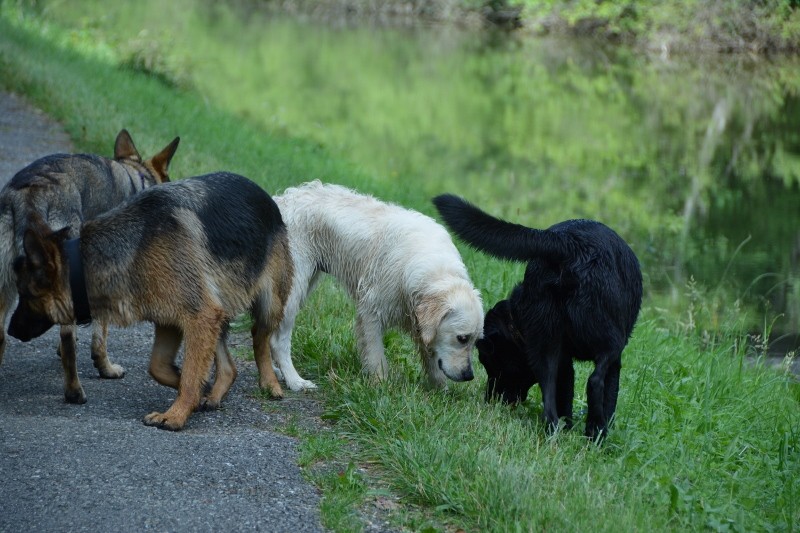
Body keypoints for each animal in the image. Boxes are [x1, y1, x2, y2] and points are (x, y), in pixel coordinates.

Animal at [0, 130, 178, 404]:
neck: (135, 176)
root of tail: (31, 193)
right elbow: (99, 335)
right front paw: (106, 368)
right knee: (68, 339)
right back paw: (74, 392)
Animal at [6, 172, 294, 430]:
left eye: (25, 294)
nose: (9, 330)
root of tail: (266, 195)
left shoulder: (198, 316)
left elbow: (190, 374)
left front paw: (176, 415)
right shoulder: (170, 321)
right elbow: (159, 367)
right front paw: (193, 389)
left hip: (267, 304)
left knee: (259, 337)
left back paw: (270, 384)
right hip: (218, 311)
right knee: (229, 367)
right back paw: (214, 395)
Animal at [270, 181, 482, 388]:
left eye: (475, 342)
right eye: (462, 338)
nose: (468, 376)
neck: (435, 270)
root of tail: (280, 201)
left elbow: (432, 359)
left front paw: (440, 390)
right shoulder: (371, 312)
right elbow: (376, 354)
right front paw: (380, 384)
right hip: (294, 289)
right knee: (278, 340)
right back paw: (295, 381)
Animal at [434, 193, 640, 438]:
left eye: (489, 362)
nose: (490, 398)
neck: (517, 320)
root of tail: (566, 243)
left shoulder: (563, 362)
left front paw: (567, 426)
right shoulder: (613, 361)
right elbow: (610, 396)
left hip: (547, 348)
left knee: (550, 401)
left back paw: (555, 433)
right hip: (610, 341)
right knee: (595, 381)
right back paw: (596, 432)